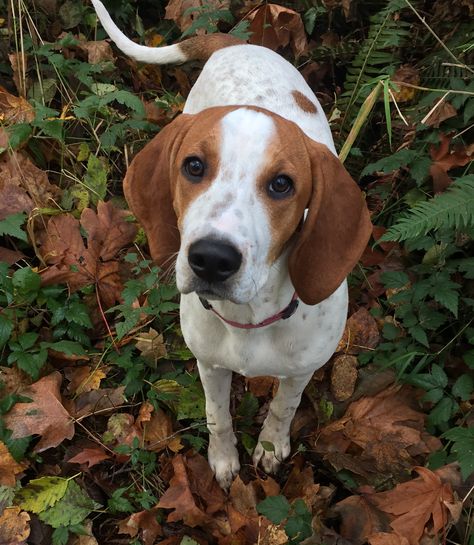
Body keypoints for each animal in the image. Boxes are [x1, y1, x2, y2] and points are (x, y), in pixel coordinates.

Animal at [92, 0, 372, 488]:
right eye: (193, 166)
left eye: (282, 184)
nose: (211, 259)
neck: (251, 320)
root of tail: (235, 43)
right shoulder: (209, 364)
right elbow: (217, 416)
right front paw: (223, 460)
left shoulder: (301, 370)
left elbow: (283, 408)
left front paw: (270, 447)